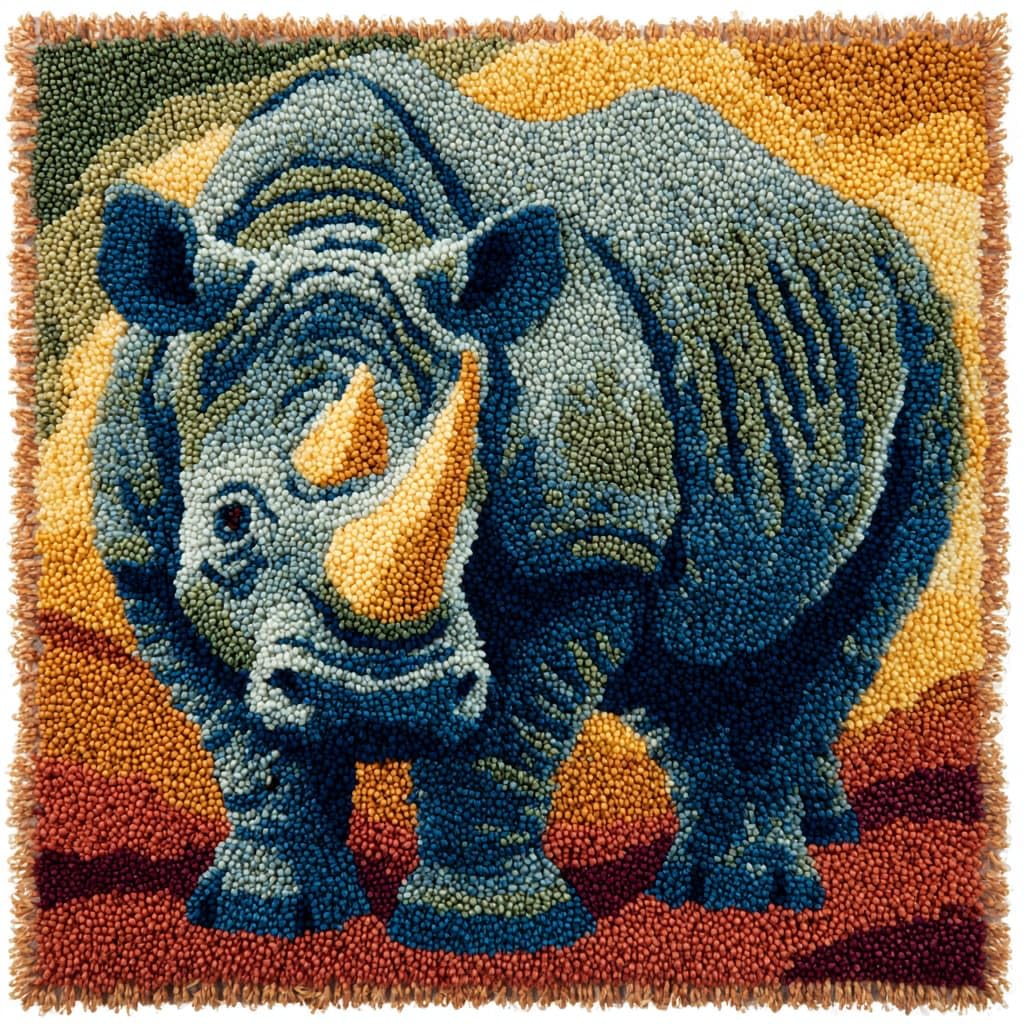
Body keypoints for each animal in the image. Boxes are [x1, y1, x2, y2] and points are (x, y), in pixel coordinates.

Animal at [90, 48, 964, 953]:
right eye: (228, 520)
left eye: (467, 522)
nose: (379, 702)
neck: (327, 228)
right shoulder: (138, 541)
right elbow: (247, 748)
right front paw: (260, 913)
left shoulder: (584, 540)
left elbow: (508, 739)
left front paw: (491, 932)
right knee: (694, 645)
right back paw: (784, 846)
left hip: (921, 324)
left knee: (845, 619)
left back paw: (745, 895)